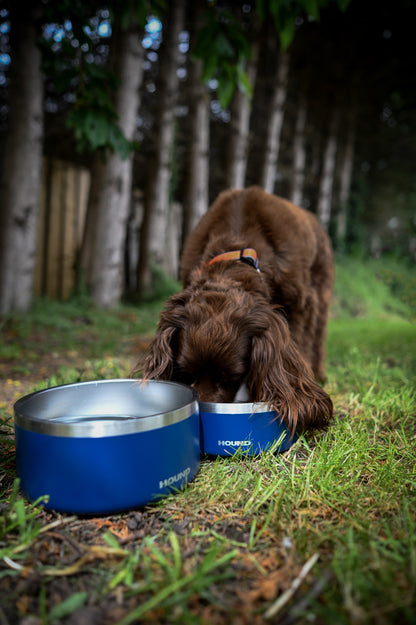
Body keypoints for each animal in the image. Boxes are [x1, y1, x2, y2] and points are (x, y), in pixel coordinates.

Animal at [138, 185, 336, 428]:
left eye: (231, 377)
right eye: (187, 373)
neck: (235, 251)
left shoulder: (300, 305)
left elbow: (302, 343)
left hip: (321, 288)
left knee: (318, 334)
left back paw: (319, 373)